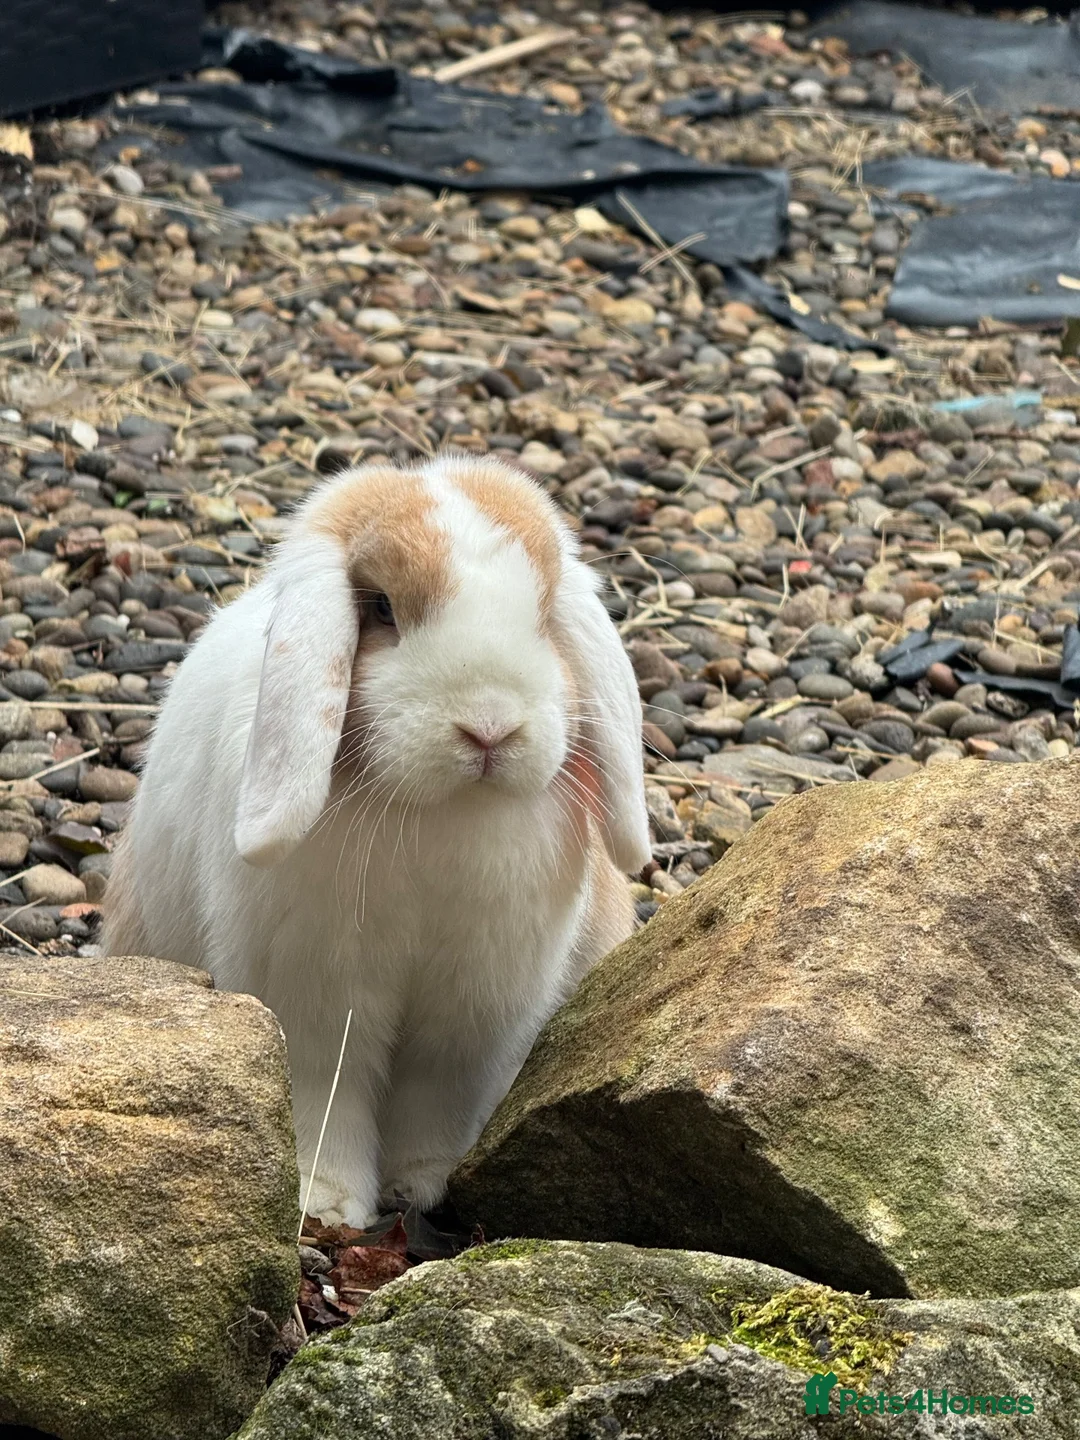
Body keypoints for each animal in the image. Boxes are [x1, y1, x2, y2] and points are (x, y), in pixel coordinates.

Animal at [104, 453, 650, 1227]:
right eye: (383, 609)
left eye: (544, 616)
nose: (490, 728)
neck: (441, 815)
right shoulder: (314, 1000)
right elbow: (323, 1094)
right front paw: (327, 1204)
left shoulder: (474, 1013)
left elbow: (437, 1095)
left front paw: (423, 1185)